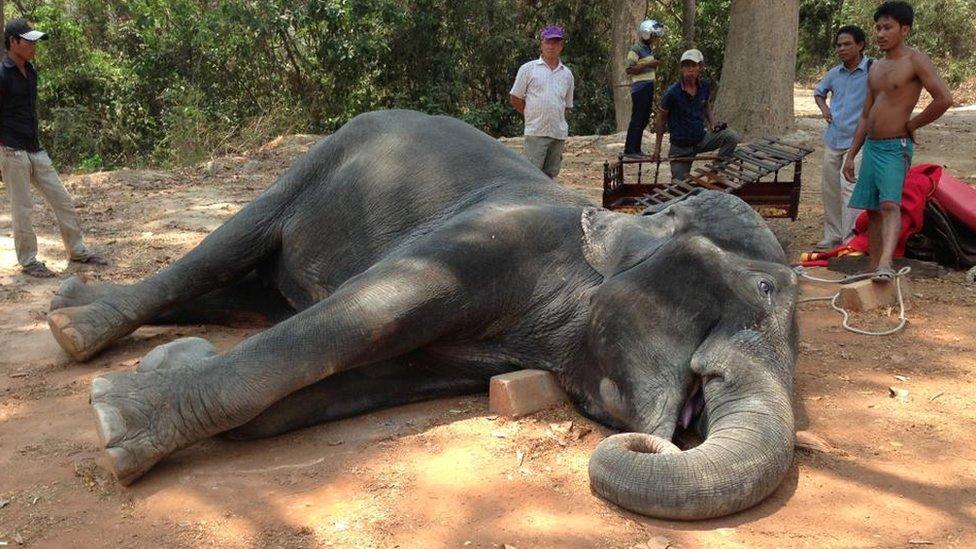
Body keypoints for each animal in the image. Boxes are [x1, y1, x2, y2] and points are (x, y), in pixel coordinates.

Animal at [45, 109, 796, 520]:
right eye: (761, 288)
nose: (667, 438)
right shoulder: (490, 239)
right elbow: (364, 312)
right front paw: (115, 420)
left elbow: (346, 383)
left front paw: (171, 364)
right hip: (318, 159)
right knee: (223, 250)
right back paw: (72, 329)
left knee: (245, 288)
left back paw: (76, 308)